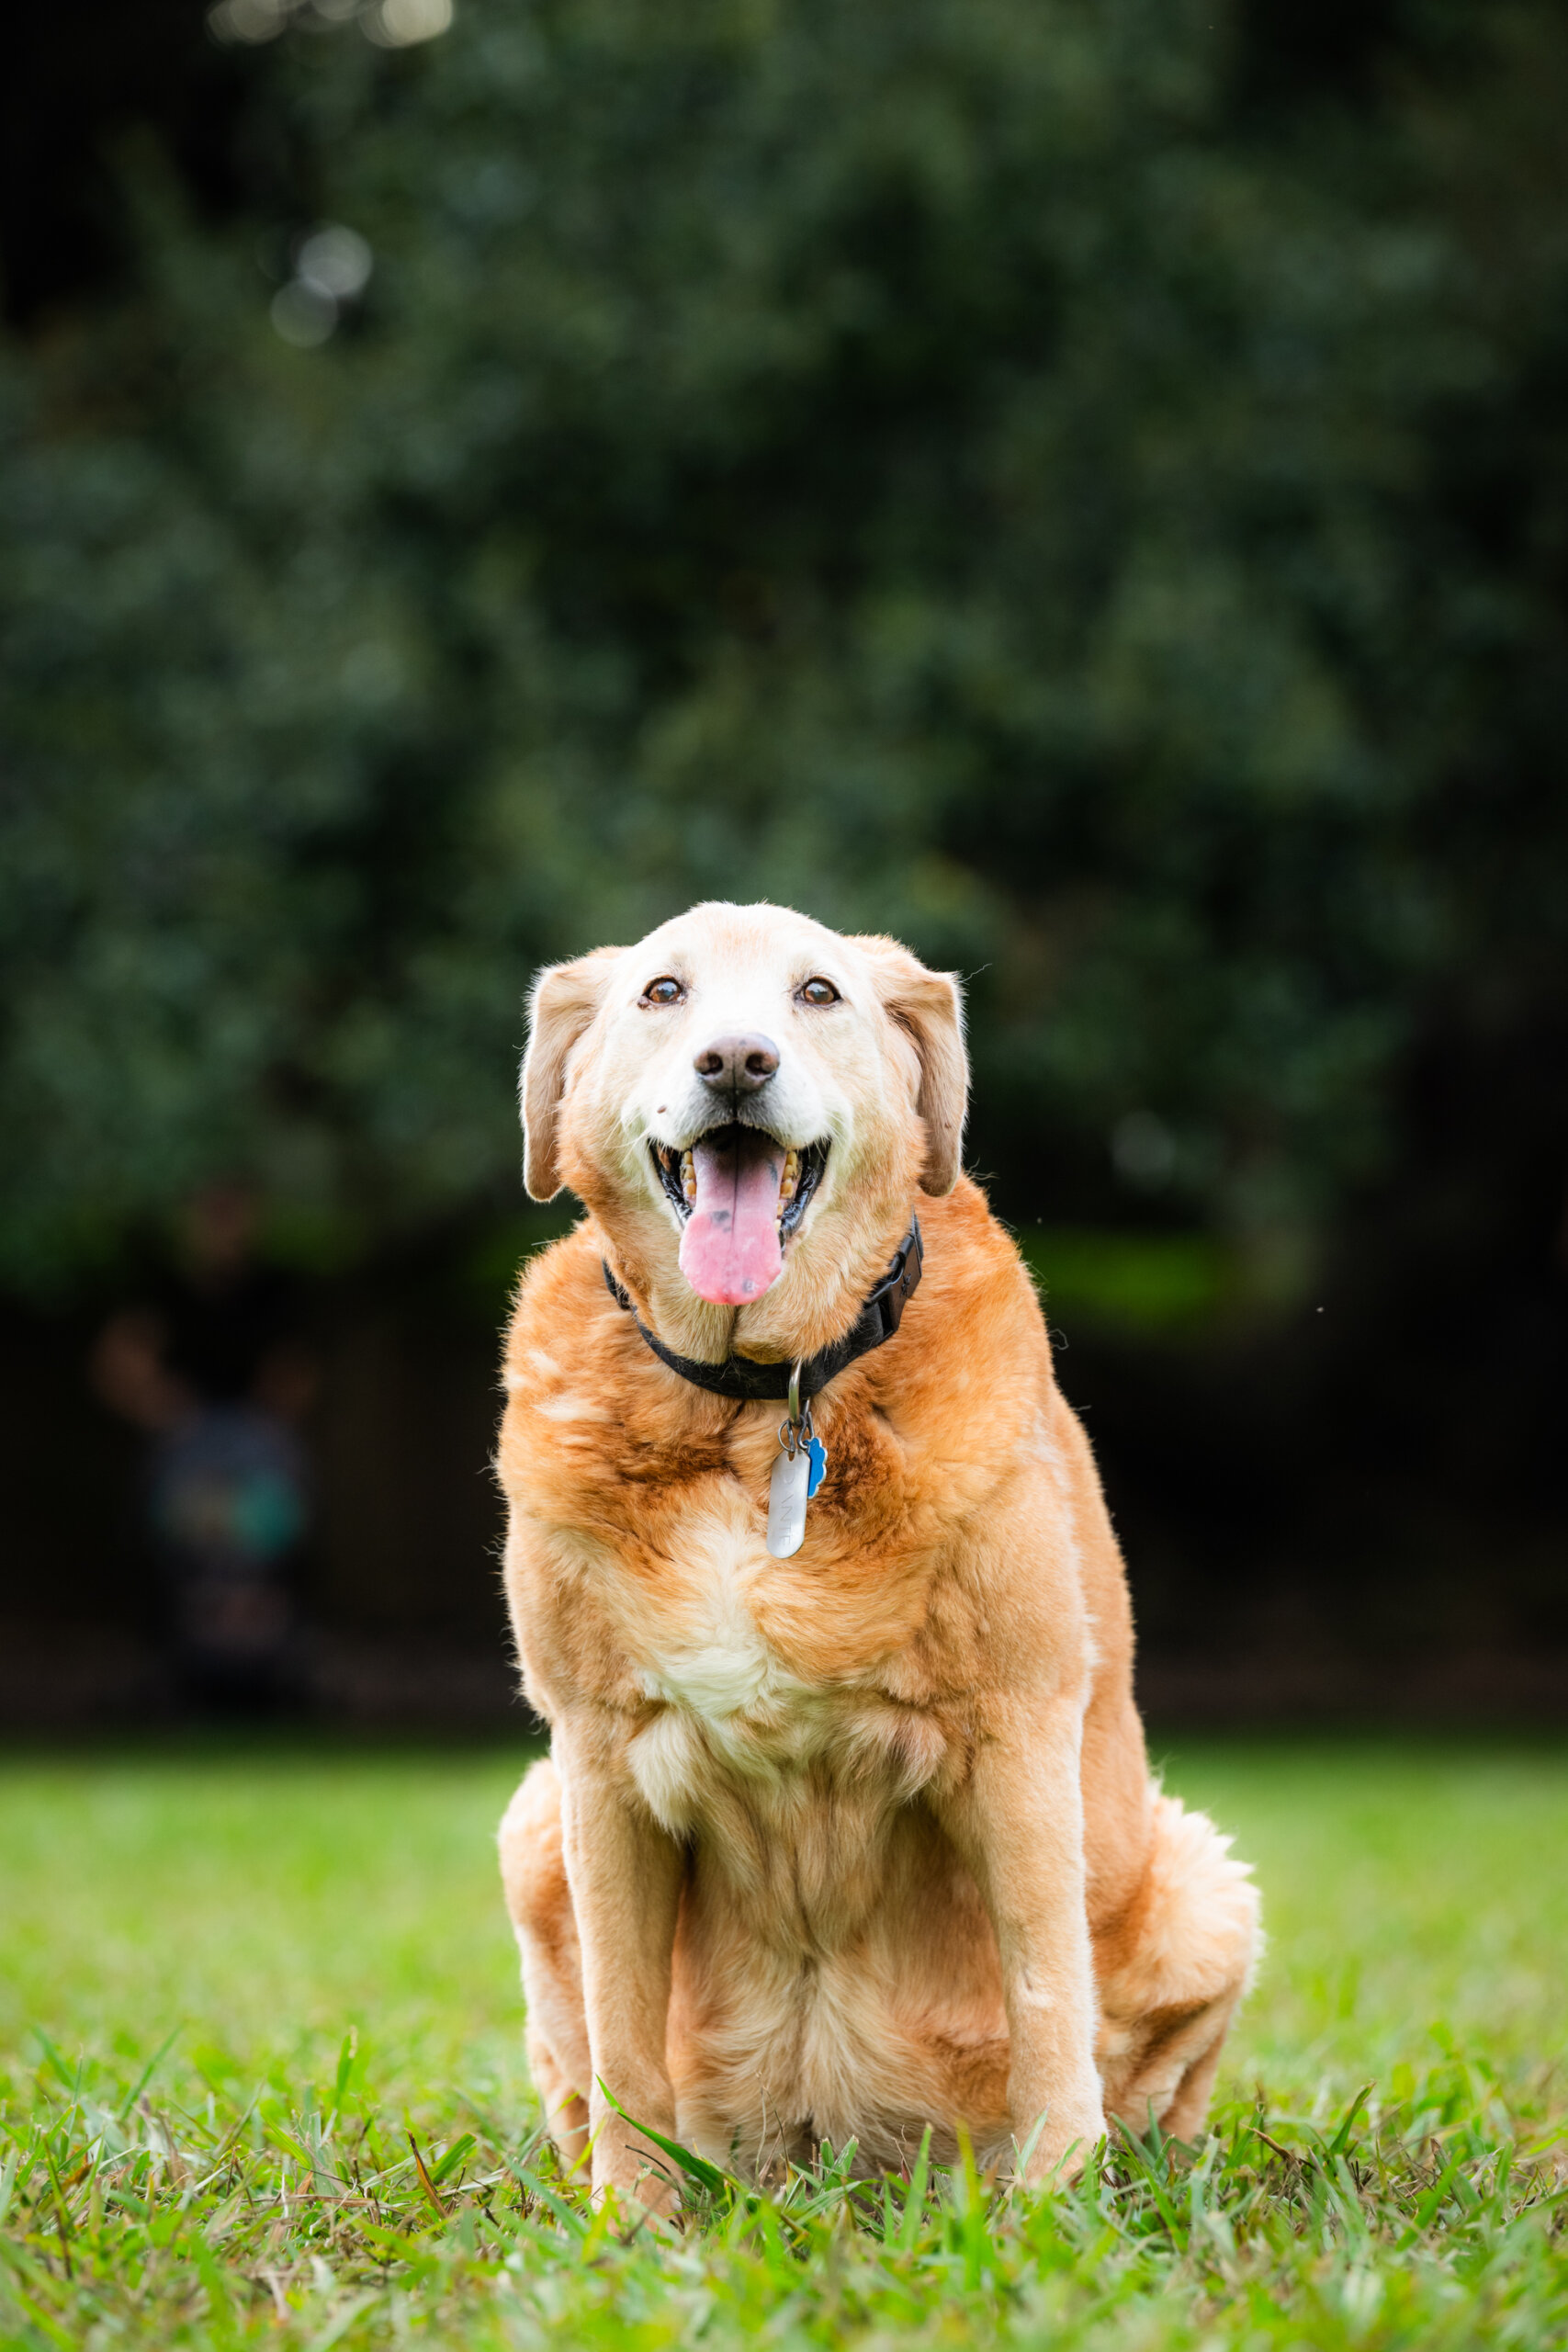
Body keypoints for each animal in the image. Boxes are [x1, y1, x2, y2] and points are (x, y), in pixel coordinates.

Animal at [495, 893, 1259, 2201]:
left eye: (817, 993)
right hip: (535, 1826)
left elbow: (1048, 1998)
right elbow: (621, 2039)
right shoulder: (597, 1760)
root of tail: (827, 2145)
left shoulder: (1015, 1731)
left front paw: (1054, 2212)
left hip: (1204, 1890)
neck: (761, 1407)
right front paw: (630, 2223)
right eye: (662, 992)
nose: (735, 1062)